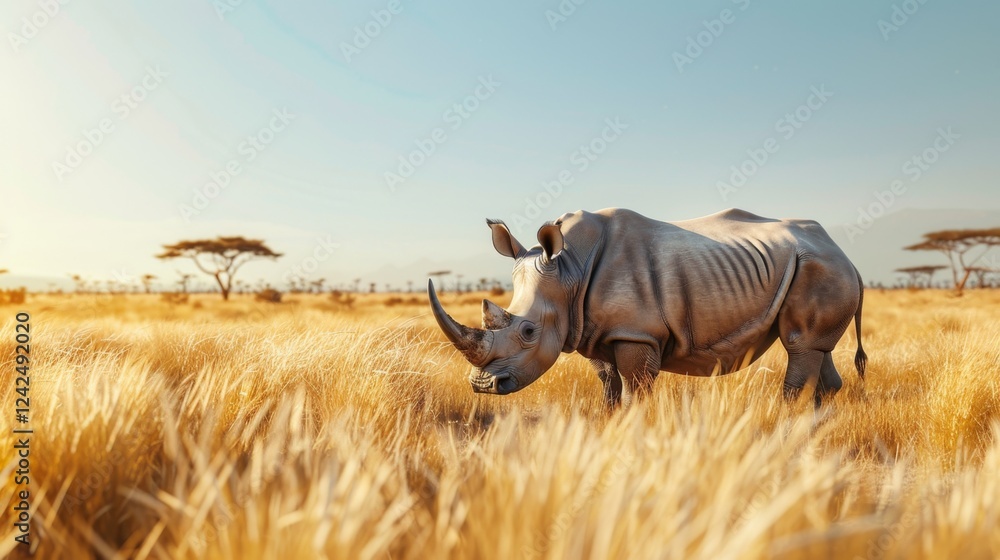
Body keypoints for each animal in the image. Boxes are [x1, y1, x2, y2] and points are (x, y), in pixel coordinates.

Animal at [428, 208, 867, 408]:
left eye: (528, 332)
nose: (483, 386)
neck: (569, 269)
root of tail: (843, 251)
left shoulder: (636, 333)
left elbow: (634, 390)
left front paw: (633, 428)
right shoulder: (592, 330)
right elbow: (608, 384)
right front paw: (608, 422)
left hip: (819, 265)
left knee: (800, 344)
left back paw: (788, 418)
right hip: (814, 265)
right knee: (815, 348)